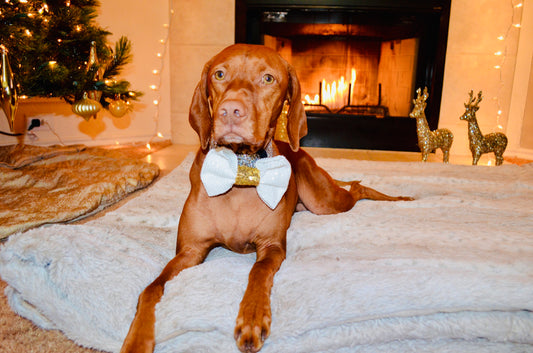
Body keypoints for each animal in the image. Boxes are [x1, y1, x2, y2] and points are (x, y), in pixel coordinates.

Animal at [120, 44, 412, 352]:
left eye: (268, 79)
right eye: (219, 74)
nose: (230, 111)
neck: (240, 171)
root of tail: (299, 151)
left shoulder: (271, 246)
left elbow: (258, 272)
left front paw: (252, 318)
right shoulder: (191, 251)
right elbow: (151, 288)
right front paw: (137, 339)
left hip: (325, 201)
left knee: (357, 189)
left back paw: (398, 197)